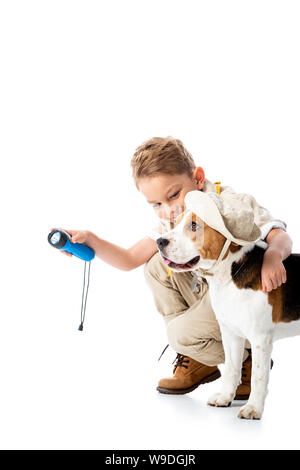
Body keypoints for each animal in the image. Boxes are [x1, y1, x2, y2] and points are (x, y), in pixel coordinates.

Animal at [157, 211, 300, 420]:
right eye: (175, 222)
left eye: (194, 226)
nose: (159, 241)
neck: (230, 273)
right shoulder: (230, 333)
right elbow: (232, 368)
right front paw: (225, 397)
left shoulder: (260, 338)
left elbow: (258, 376)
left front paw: (253, 408)